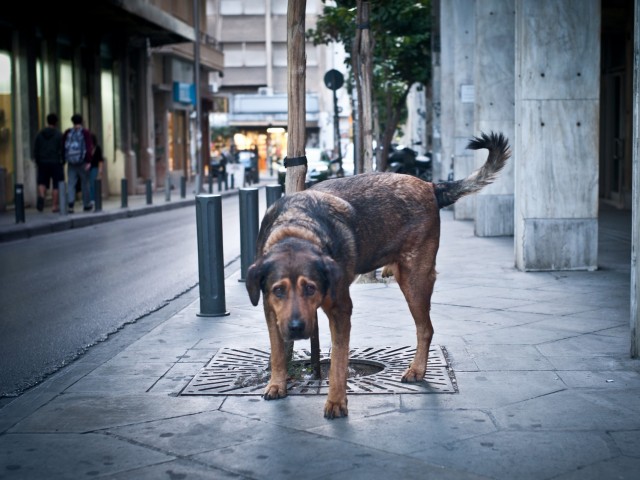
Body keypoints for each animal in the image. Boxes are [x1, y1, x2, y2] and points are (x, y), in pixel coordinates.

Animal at [245, 133, 510, 418]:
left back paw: (417, 369)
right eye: (278, 290)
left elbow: (338, 360)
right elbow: (276, 351)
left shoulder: (340, 309)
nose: (295, 328)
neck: (297, 228)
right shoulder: (271, 309)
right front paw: (277, 384)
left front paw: (336, 401)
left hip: (414, 279)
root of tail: (430, 186)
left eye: (310, 288)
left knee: (425, 328)